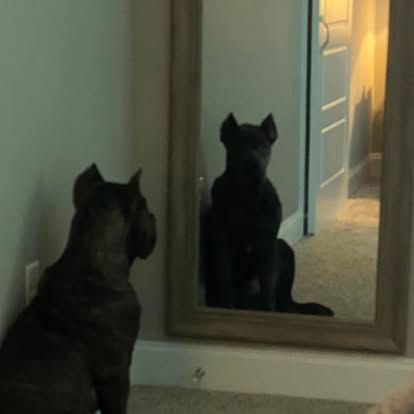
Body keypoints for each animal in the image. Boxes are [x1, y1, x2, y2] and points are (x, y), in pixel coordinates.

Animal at [204, 113, 334, 316]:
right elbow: (226, 286)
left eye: (263, 146)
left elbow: (267, 288)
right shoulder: (223, 245)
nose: (253, 164)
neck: (248, 195)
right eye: (238, 145)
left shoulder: (267, 244)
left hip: (284, 248)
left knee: (284, 303)